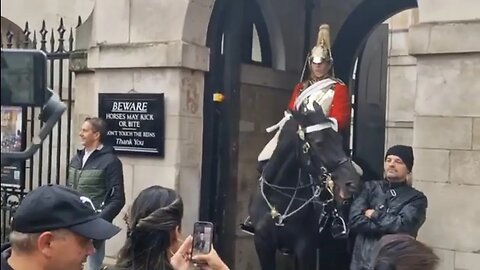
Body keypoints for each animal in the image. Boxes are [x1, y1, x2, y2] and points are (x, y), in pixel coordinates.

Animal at [249, 105, 362, 270]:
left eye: (339, 139)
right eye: (319, 143)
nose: (352, 182)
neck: (280, 198)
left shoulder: (305, 248)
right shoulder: (263, 245)